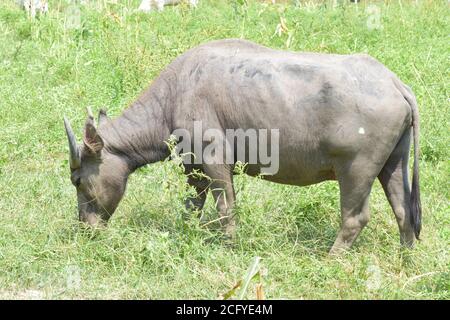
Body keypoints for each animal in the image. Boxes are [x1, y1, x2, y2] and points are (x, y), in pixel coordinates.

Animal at [64, 38, 422, 254]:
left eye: (77, 180)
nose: (85, 227)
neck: (174, 94)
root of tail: (394, 83)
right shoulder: (194, 168)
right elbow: (192, 206)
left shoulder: (214, 160)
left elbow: (226, 208)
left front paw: (230, 246)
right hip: (393, 163)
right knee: (404, 210)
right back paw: (405, 257)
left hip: (356, 170)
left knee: (354, 218)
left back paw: (332, 257)